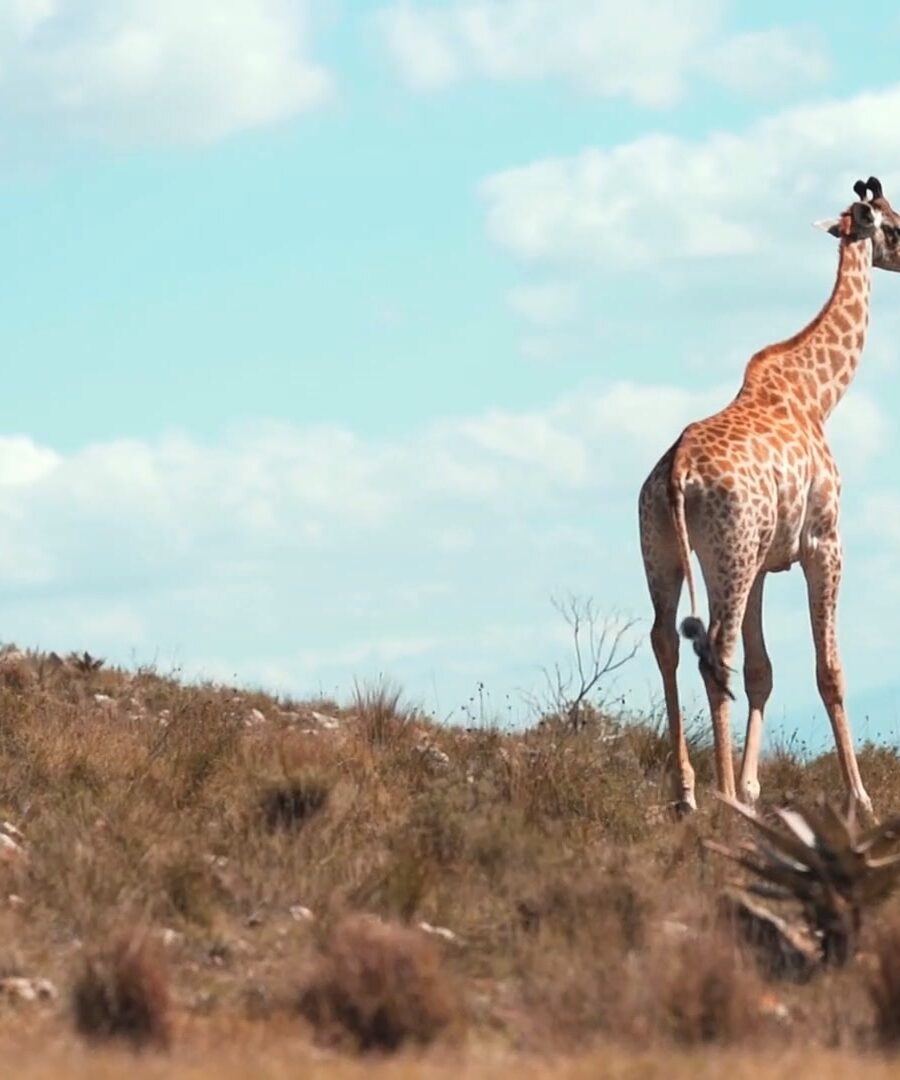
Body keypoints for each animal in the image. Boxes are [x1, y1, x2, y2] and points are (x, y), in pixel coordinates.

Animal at [638, 177, 900, 818]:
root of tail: (676, 472)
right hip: (727, 554)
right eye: (892, 224)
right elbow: (829, 669)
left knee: (666, 640)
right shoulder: (824, 543)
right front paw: (860, 800)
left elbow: (763, 671)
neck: (817, 396)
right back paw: (722, 796)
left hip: (667, 552)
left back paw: (689, 792)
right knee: (716, 647)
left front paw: (756, 789)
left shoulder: (762, 562)